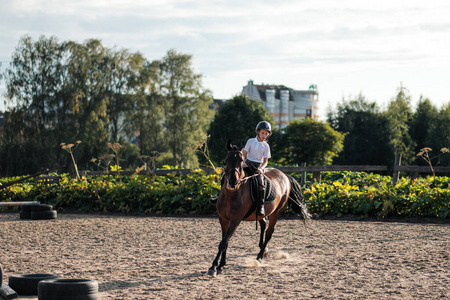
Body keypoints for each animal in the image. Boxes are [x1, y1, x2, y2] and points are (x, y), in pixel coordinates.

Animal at [208, 141, 312, 276]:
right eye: (227, 160)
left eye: (241, 160)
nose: (232, 181)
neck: (232, 194)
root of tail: (285, 175)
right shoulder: (223, 219)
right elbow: (224, 241)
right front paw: (221, 265)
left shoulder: (235, 220)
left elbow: (224, 242)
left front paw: (214, 266)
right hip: (262, 213)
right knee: (263, 225)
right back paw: (264, 249)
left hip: (276, 212)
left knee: (269, 232)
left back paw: (260, 256)